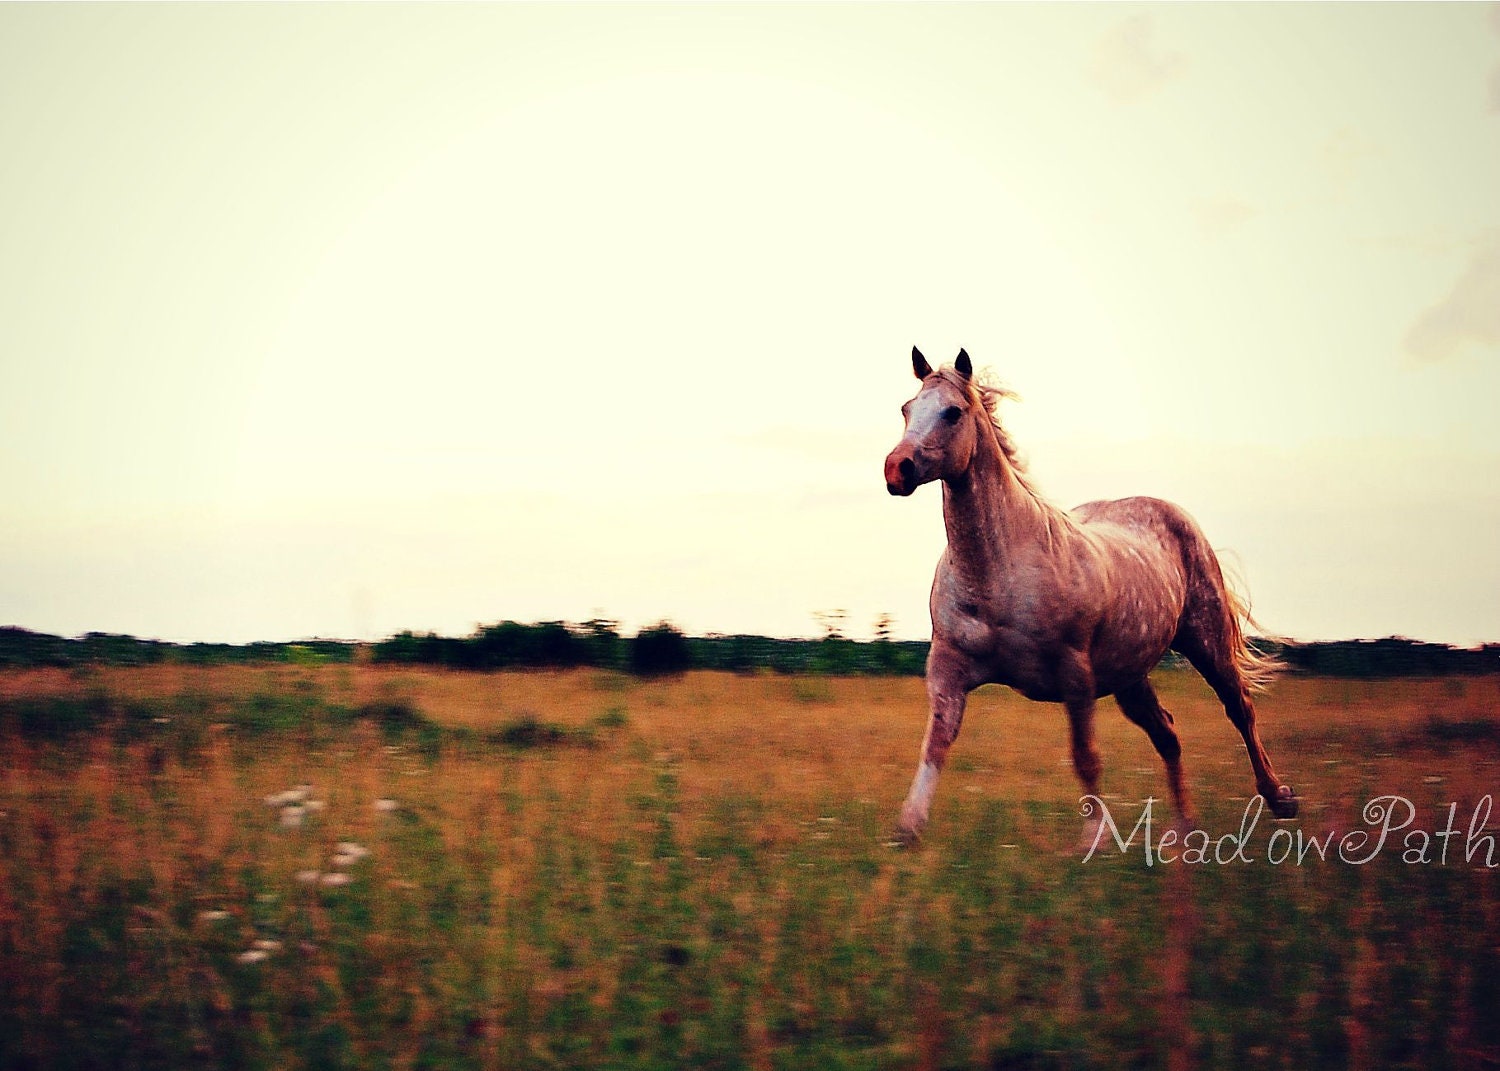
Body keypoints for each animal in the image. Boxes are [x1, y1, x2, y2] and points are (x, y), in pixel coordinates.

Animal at [883, 347, 1297, 843]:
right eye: (907, 409)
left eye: (952, 412)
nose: (896, 469)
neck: (998, 575)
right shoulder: (948, 671)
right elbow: (935, 746)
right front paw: (907, 830)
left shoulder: (1075, 674)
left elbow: (1085, 756)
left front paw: (1094, 839)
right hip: (1129, 675)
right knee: (1168, 734)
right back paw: (1182, 830)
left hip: (1205, 641)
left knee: (1240, 710)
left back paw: (1279, 799)